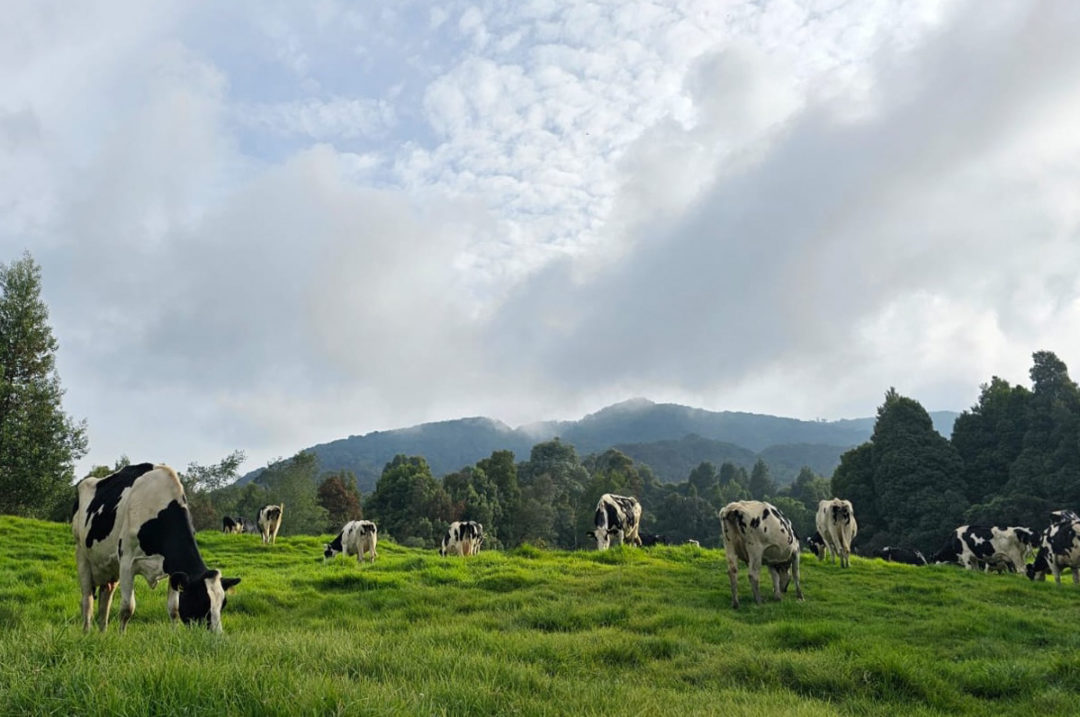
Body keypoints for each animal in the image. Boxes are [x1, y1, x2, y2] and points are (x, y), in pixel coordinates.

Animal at [71, 462, 240, 630]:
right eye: (200, 601)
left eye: (223, 604)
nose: (216, 635)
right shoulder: (126, 562)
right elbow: (127, 608)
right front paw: (121, 636)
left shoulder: (173, 569)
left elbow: (174, 609)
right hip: (82, 555)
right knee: (87, 600)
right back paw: (87, 632)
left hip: (109, 567)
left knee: (105, 599)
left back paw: (103, 633)